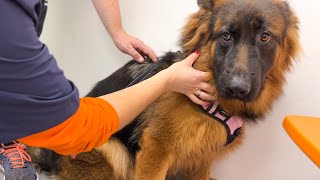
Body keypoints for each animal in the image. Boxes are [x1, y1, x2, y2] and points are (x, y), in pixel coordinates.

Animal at [29, 0, 300, 179]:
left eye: (265, 37)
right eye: (225, 36)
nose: (237, 88)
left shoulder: (201, 159)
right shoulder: (156, 149)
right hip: (112, 149)